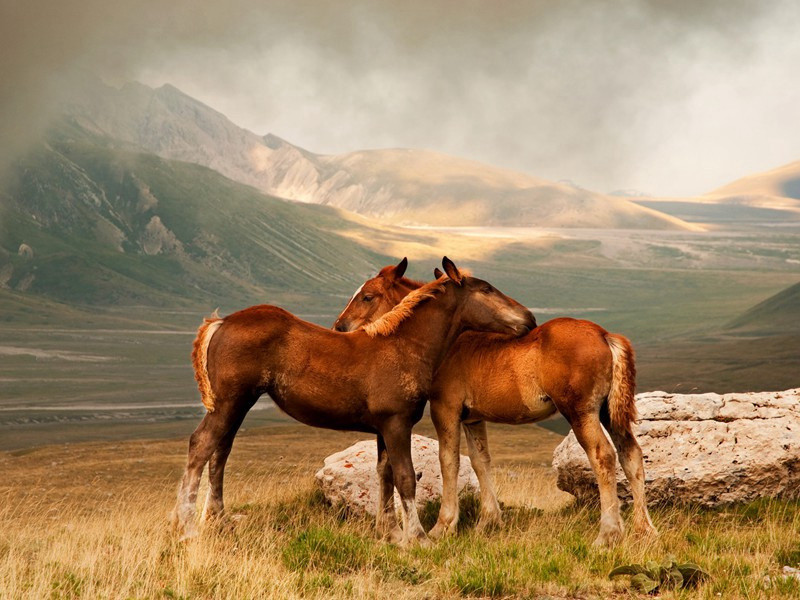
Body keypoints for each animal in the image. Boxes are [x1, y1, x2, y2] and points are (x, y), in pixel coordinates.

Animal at [172, 255, 536, 548]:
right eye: (486, 289)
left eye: (368, 296)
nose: (529, 318)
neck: (403, 345)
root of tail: (221, 322)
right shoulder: (396, 423)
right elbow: (405, 478)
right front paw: (417, 538)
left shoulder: (383, 428)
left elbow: (384, 474)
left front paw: (391, 534)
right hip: (229, 403)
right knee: (201, 445)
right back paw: (186, 527)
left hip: (237, 405)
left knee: (220, 452)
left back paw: (218, 521)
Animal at [334, 260, 660, 548]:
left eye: (367, 296)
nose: (339, 327)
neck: (450, 341)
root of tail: (605, 335)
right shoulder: (473, 418)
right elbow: (481, 461)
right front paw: (488, 522)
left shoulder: (445, 409)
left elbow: (448, 461)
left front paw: (443, 526)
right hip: (608, 412)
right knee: (631, 454)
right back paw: (644, 530)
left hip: (581, 412)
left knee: (603, 456)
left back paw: (608, 534)